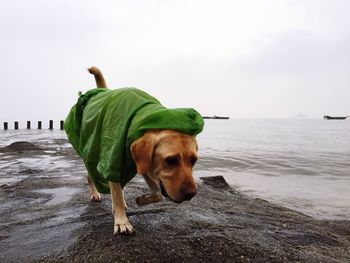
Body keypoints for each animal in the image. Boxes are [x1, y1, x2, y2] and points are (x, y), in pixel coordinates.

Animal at [64, 66, 204, 235]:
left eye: (194, 161)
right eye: (171, 160)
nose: (192, 194)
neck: (143, 120)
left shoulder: (143, 163)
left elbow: (156, 194)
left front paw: (142, 200)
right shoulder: (112, 160)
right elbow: (116, 193)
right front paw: (122, 222)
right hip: (90, 153)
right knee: (92, 177)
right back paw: (96, 194)